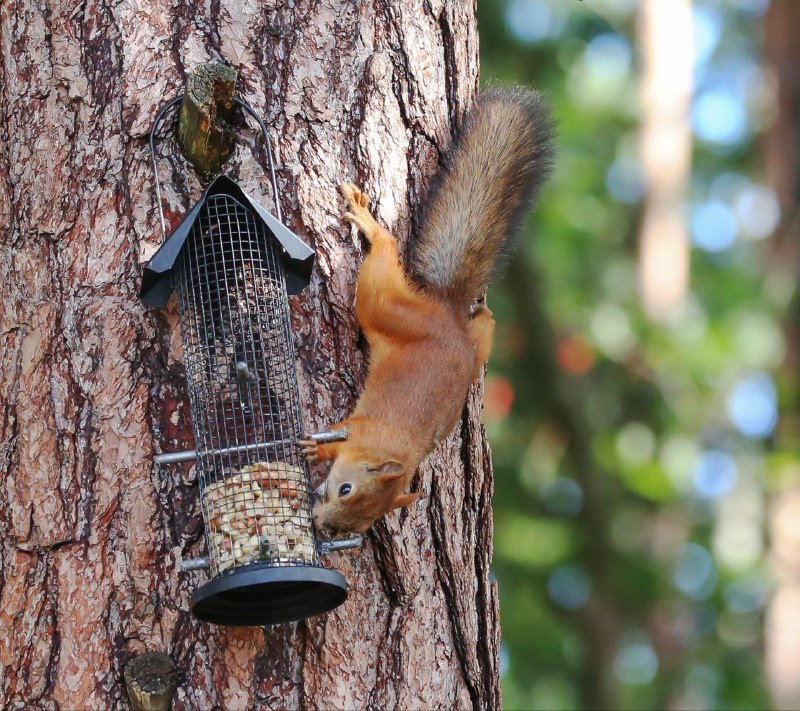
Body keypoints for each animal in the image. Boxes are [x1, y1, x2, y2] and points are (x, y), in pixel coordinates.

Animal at [304, 89, 552, 532]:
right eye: (345, 489)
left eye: (361, 525)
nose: (323, 525)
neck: (397, 452)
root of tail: (446, 312)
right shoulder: (360, 428)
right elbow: (339, 433)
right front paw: (317, 450)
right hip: (384, 306)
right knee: (384, 258)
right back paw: (370, 225)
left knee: (483, 324)